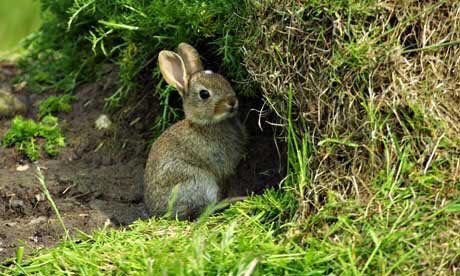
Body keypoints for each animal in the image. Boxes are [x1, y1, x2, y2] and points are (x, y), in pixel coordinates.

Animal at [144, 43, 246, 220]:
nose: (232, 102)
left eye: (223, 79)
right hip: (198, 182)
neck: (205, 125)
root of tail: (158, 214)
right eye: (204, 94)